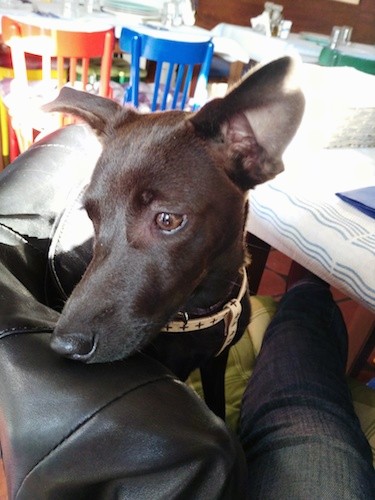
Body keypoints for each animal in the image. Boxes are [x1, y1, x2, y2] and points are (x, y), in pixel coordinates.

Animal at [44, 56, 306, 418]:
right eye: (92, 216)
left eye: (168, 219)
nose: (64, 345)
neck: (206, 308)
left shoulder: (217, 362)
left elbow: (217, 405)